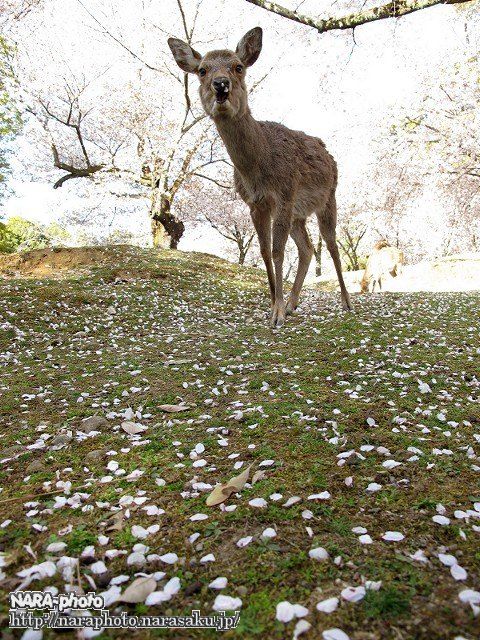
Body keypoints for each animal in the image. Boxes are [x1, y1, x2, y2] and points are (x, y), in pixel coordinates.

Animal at [169, 25, 352, 328]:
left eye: (238, 67)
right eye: (202, 70)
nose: (221, 84)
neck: (258, 169)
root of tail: (328, 153)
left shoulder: (285, 193)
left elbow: (278, 251)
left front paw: (277, 315)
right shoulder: (256, 203)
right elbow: (265, 251)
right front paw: (273, 306)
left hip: (329, 198)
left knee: (331, 244)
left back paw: (346, 302)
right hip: (299, 213)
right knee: (307, 248)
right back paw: (292, 303)